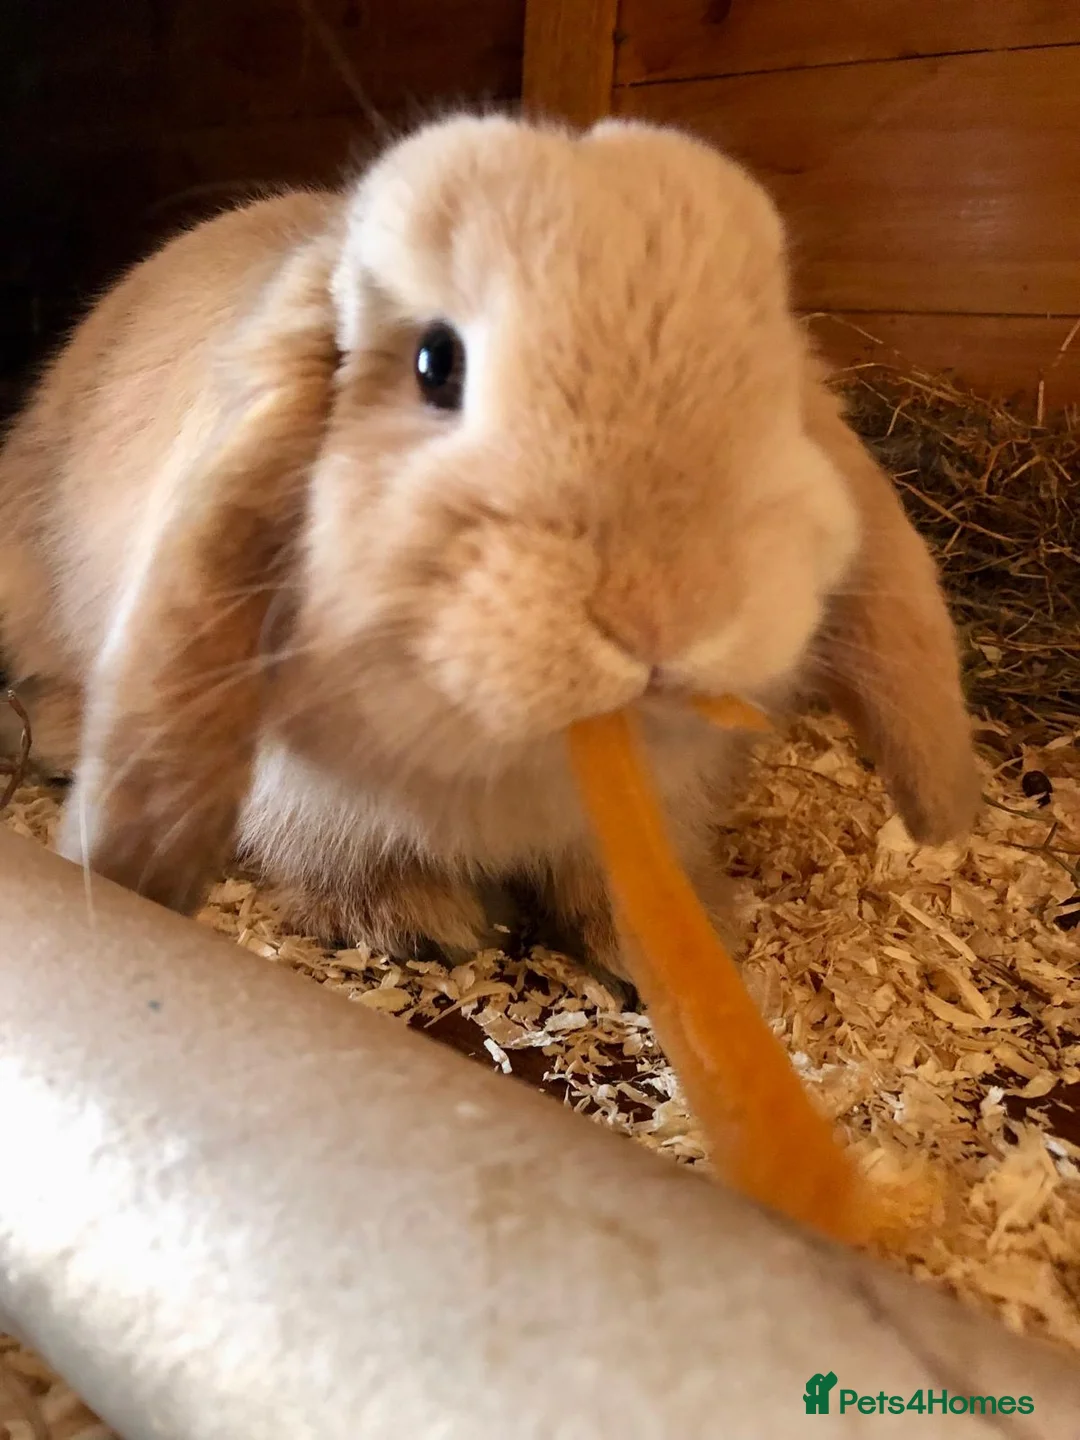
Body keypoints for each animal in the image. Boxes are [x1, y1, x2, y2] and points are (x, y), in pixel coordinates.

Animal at [0, 114, 979, 984]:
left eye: (767, 374)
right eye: (437, 364)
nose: (669, 611)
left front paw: (660, 943)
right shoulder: (308, 791)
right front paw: (425, 923)